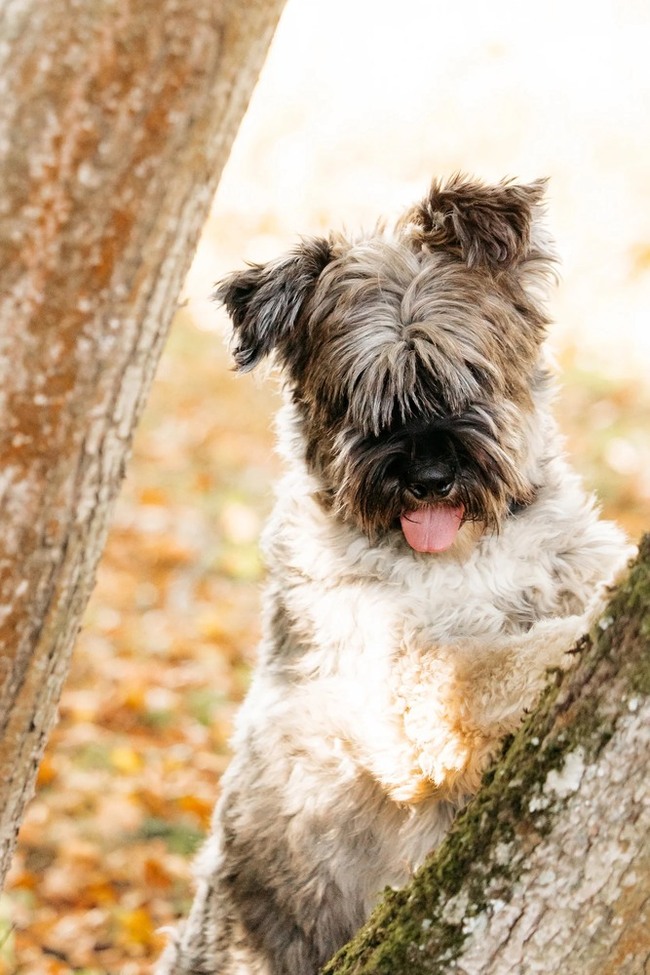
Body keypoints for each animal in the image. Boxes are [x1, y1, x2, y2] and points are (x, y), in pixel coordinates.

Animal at [157, 177, 628, 975]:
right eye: (357, 396)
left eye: (469, 374)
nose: (429, 477)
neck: (468, 556)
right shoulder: (403, 691)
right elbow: (498, 663)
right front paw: (574, 633)